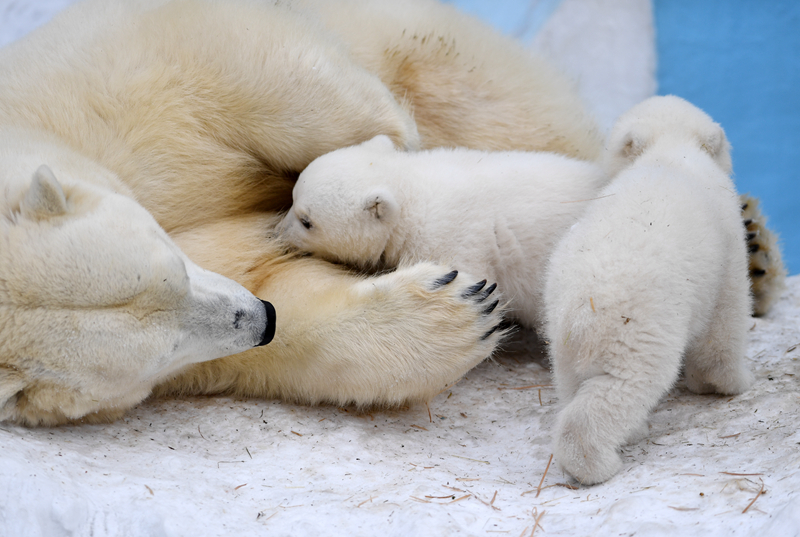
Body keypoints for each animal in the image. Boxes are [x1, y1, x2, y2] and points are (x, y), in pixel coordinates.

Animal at [0, 0, 600, 426]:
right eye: (164, 348)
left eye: (172, 263)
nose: (259, 318)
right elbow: (284, 303)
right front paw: (453, 312)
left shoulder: (96, 79)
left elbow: (233, 55)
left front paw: (392, 143)